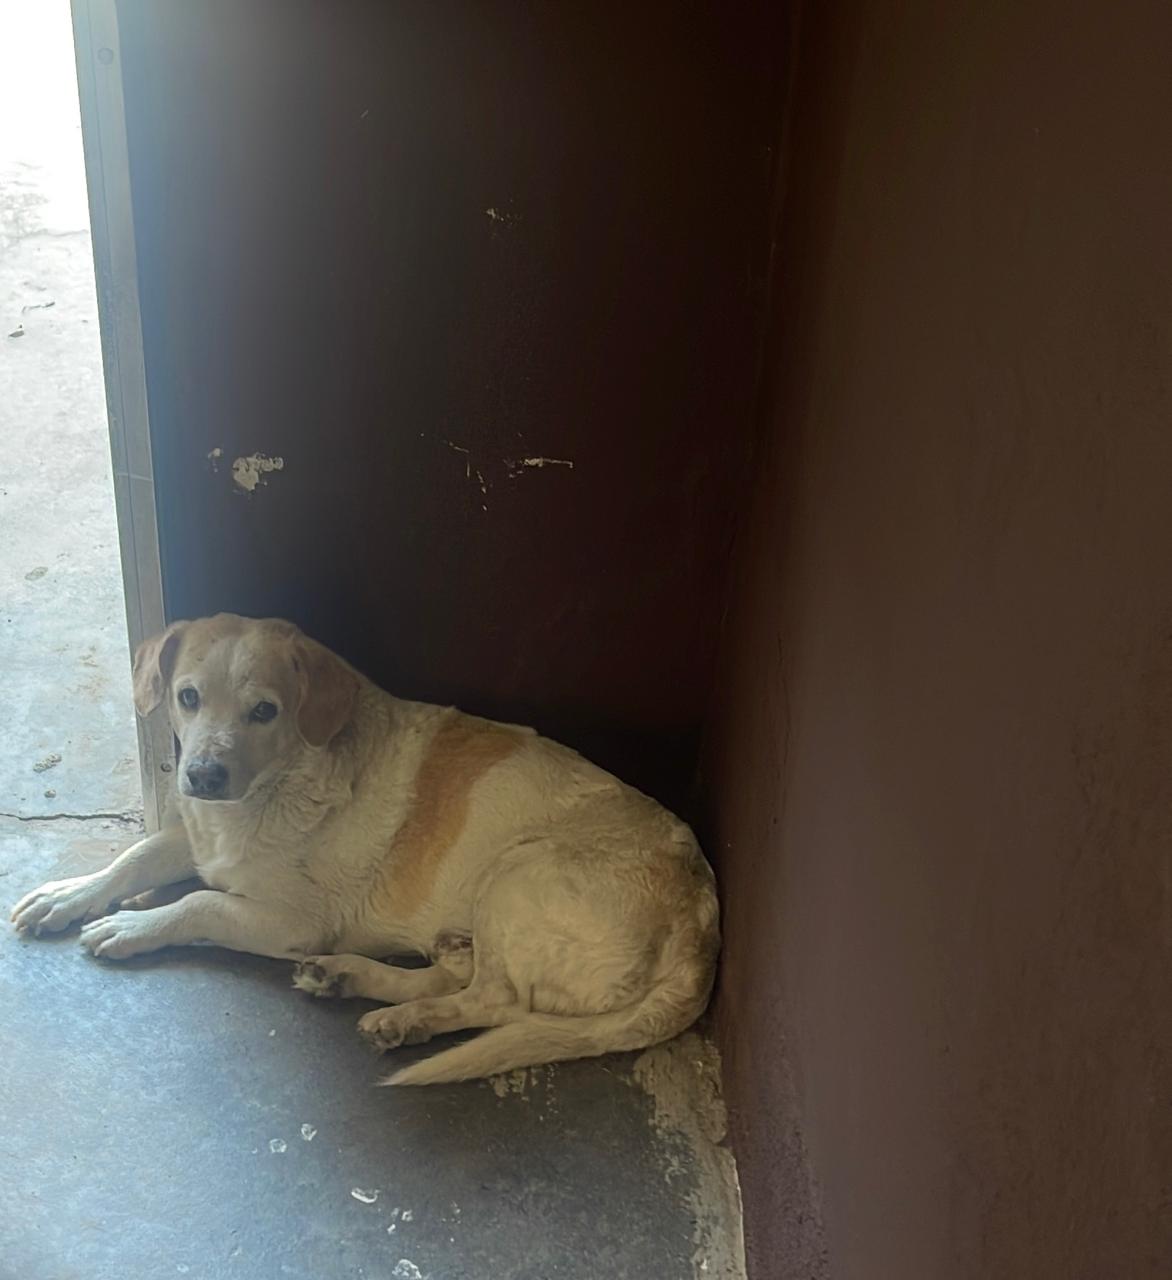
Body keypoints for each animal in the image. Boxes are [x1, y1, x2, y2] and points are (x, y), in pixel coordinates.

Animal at [11, 614, 719, 1084]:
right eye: (187, 698)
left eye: (265, 711)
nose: (203, 777)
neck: (273, 790)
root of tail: (701, 933)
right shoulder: (196, 837)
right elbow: (133, 859)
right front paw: (66, 896)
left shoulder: (295, 921)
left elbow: (198, 905)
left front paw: (132, 926)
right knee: (463, 974)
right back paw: (358, 978)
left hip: (520, 872)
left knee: (495, 1001)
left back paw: (400, 1015)